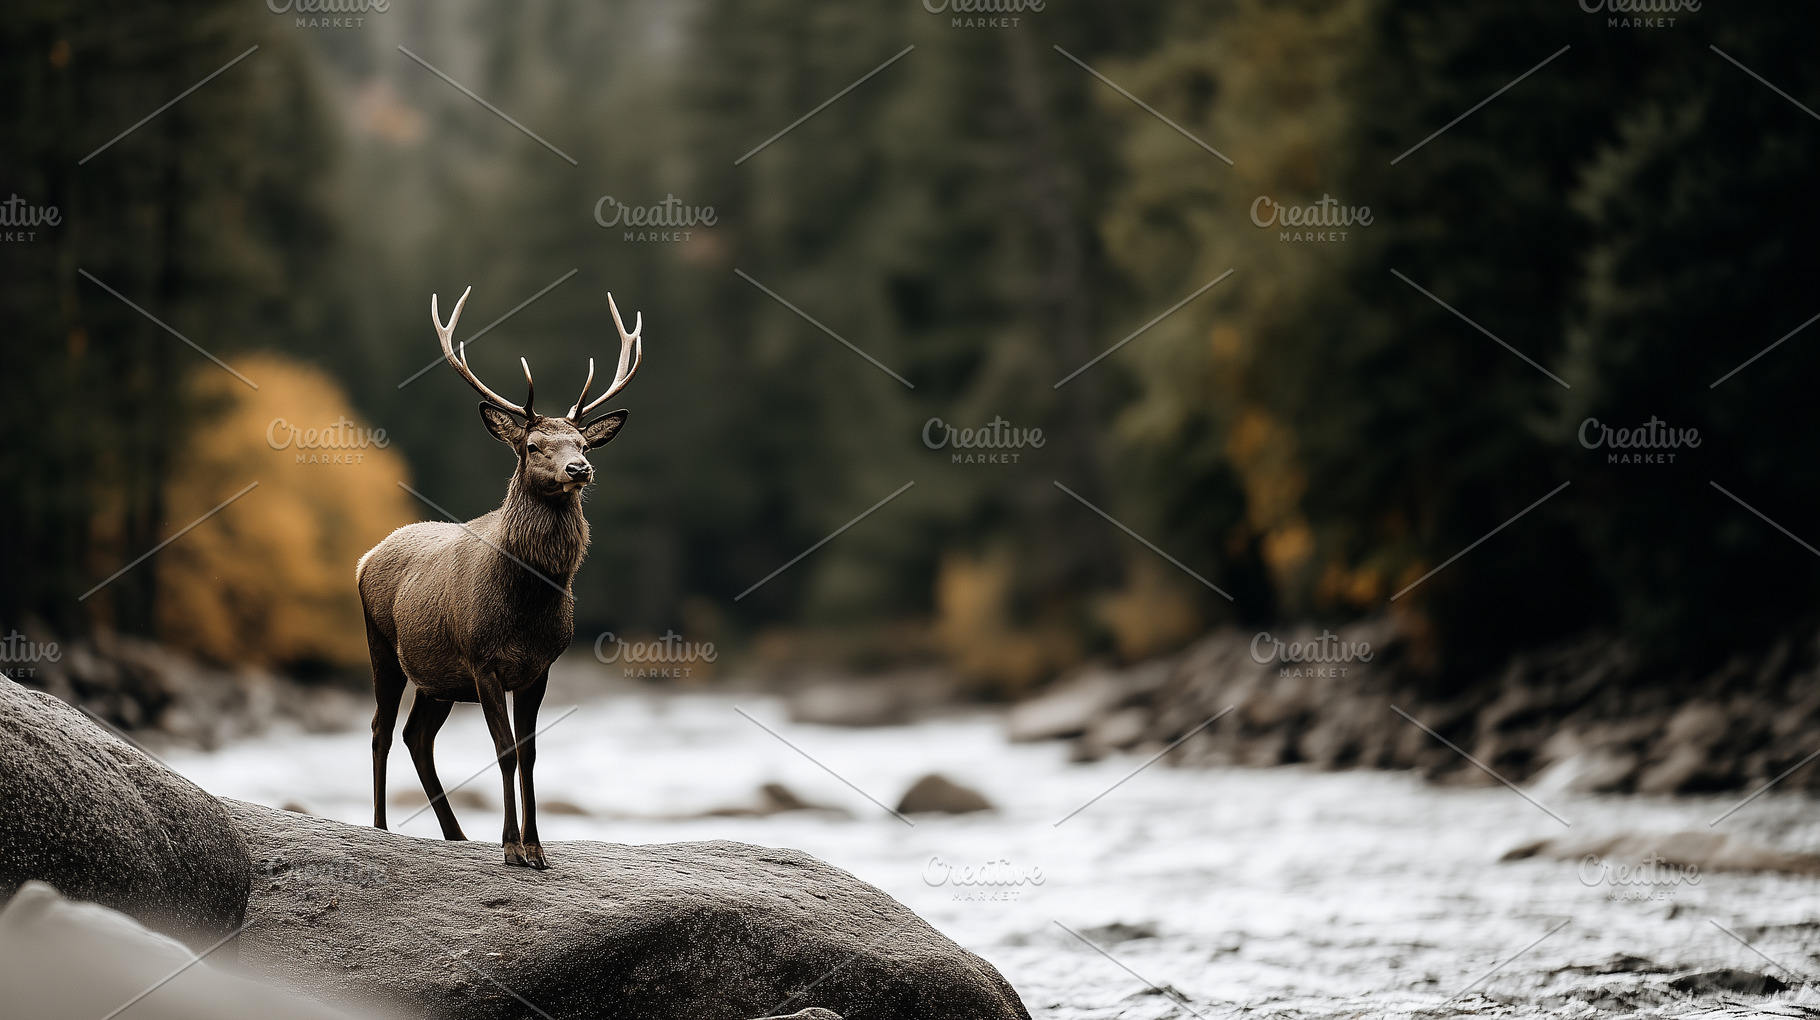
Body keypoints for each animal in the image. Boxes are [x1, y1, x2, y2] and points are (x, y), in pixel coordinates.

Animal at [357, 286, 642, 868]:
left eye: (582, 442)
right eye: (534, 446)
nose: (580, 469)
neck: (526, 607)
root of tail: (365, 556)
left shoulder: (539, 667)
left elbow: (530, 753)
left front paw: (537, 847)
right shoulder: (483, 658)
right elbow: (505, 750)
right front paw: (511, 847)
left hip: (438, 677)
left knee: (417, 736)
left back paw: (456, 834)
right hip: (381, 642)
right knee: (379, 728)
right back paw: (380, 827)